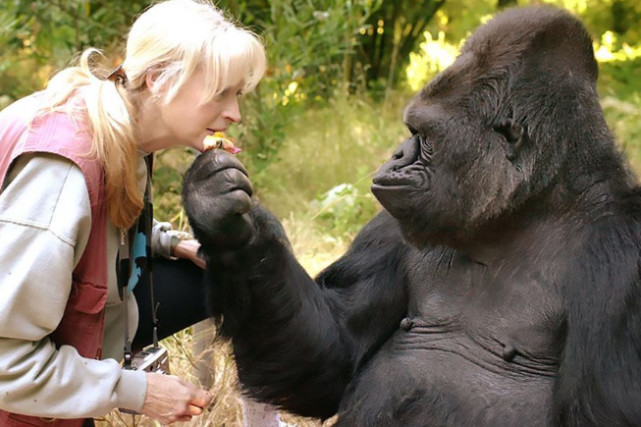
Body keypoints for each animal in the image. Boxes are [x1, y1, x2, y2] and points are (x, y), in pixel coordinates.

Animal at [180, 6, 640, 427]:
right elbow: (332, 354)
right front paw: (226, 223)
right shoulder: (391, 228)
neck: (523, 211)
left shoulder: (623, 258)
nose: (397, 155)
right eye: (411, 131)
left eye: (425, 136)